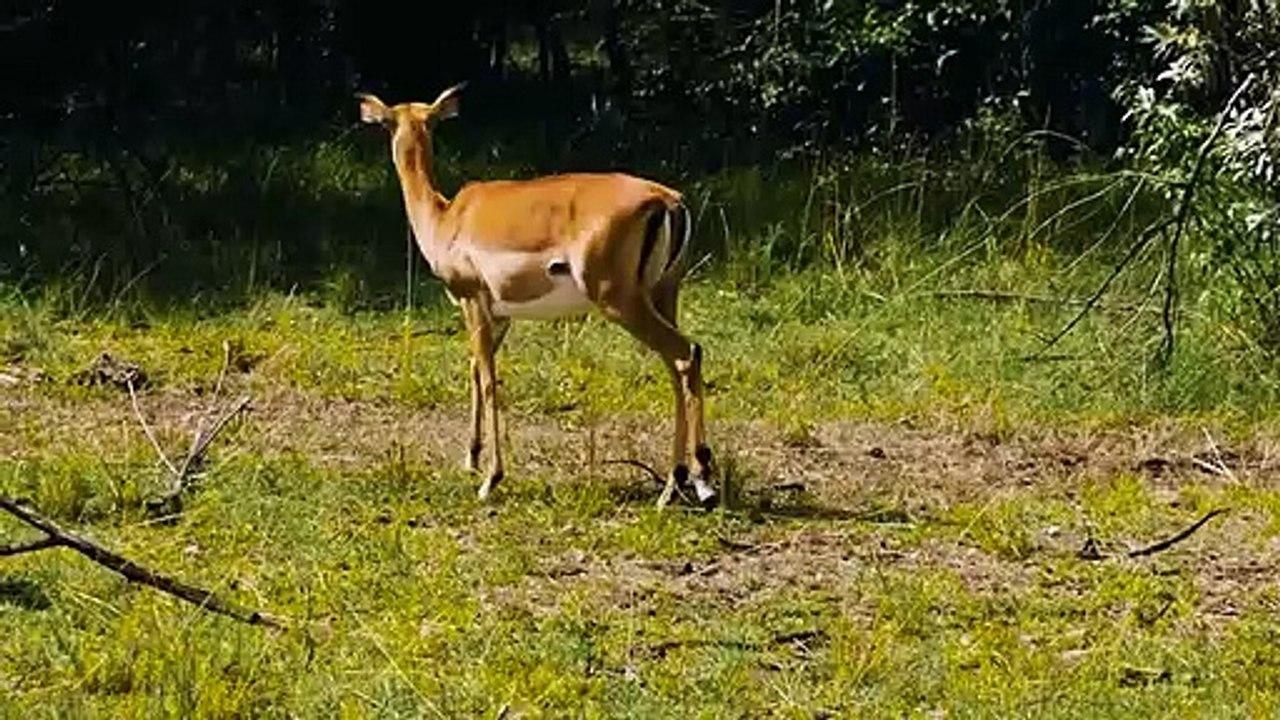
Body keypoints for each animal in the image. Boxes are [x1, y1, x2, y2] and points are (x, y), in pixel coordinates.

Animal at [357, 84, 715, 507]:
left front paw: (490, 479)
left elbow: (489, 380)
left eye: (388, 122)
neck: (446, 217)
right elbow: (475, 370)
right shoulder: (500, 315)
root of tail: (668, 200)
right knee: (679, 366)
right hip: (663, 294)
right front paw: (471, 460)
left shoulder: (473, 301)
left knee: (685, 353)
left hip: (621, 302)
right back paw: (678, 484)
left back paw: (696, 483)